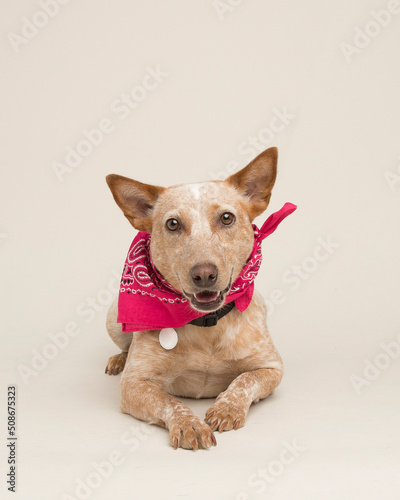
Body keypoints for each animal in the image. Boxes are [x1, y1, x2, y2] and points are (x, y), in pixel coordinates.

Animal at [104, 147, 290, 450]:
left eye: (226, 218)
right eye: (173, 224)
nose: (204, 275)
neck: (206, 327)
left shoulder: (271, 368)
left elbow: (245, 380)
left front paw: (228, 406)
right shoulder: (134, 384)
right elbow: (169, 400)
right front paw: (188, 423)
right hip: (112, 318)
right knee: (124, 345)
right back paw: (119, 358)